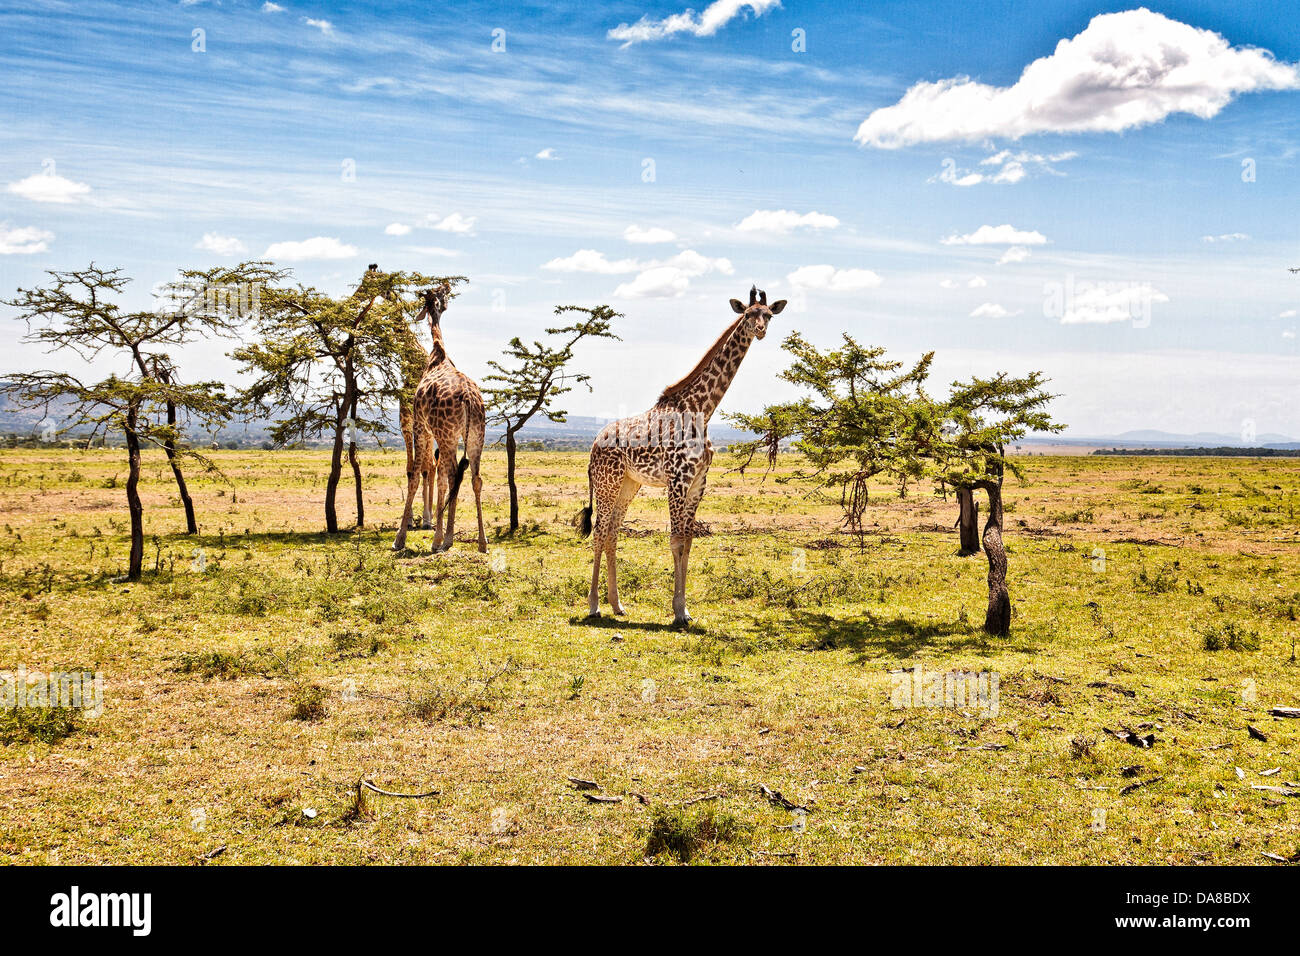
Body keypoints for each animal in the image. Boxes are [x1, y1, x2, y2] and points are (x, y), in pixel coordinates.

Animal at [390, 282, 488, 554]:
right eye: (440, 297)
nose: (445, 288)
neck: (437, 354)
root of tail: (468, 399)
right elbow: (440, 478)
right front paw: (436, 531)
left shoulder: (420, 426)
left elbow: (415, 475)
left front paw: (400, 539)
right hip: (475, 435)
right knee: (475, 478)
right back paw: (482, 542)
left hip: (446, 434)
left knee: (454, 474)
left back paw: (446, 540)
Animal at [577, 283, 780, 629]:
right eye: (748, 314)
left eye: (768, 315)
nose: (761, 330)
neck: (702, 410)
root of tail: (593, 444)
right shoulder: (677, 479)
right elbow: (675, 540)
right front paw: (677, 612)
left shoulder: (699, 481)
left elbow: (688, 541)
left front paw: (685, 610)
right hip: (607, 483)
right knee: (601, 532)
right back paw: (594, 606)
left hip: (629, 484)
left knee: (613, 532)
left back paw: (618, 605)